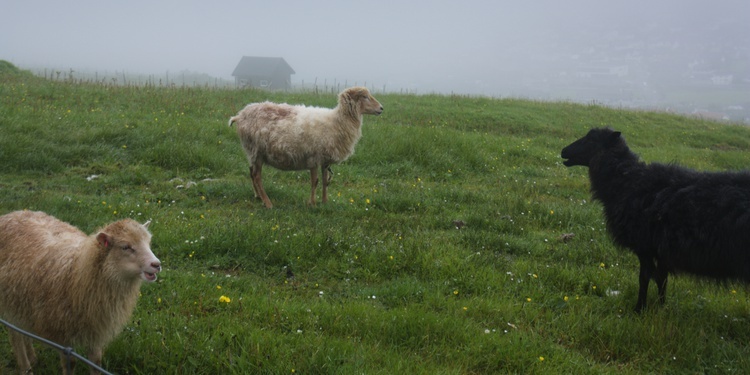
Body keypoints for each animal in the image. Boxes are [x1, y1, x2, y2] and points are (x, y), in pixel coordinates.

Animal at [0, 212, 162, 375]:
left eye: (148, 242)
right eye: (125, 247)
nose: (156, 264)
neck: (78, 268)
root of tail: (13, 214)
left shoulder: (95, 330)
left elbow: (96, 362)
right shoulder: (63, 333)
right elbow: (70, 363)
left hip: (22, 303)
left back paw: (32, 358)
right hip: (9, 304)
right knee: (15, 336)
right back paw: (26, 367)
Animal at [229, 86, 384, 209]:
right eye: (365, 96)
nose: (381, 108)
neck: (336, 122)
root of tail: (240, 115)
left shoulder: (324, 159)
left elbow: (325, 181)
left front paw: (325, 202)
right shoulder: (313, 157)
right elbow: (315, 182)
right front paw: (312, 204)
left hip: (252, 152)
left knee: (251, 172)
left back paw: (258, 196)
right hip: (257, 151)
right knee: (256, 176)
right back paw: (268, 203)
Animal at [560, 128, 750, 312]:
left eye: (591, 139)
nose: (563, 151)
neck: (626, 181)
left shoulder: (645, 246)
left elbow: (644, 278)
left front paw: (639, 309)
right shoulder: (662, 249)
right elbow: (662, 279)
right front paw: (661, 306)